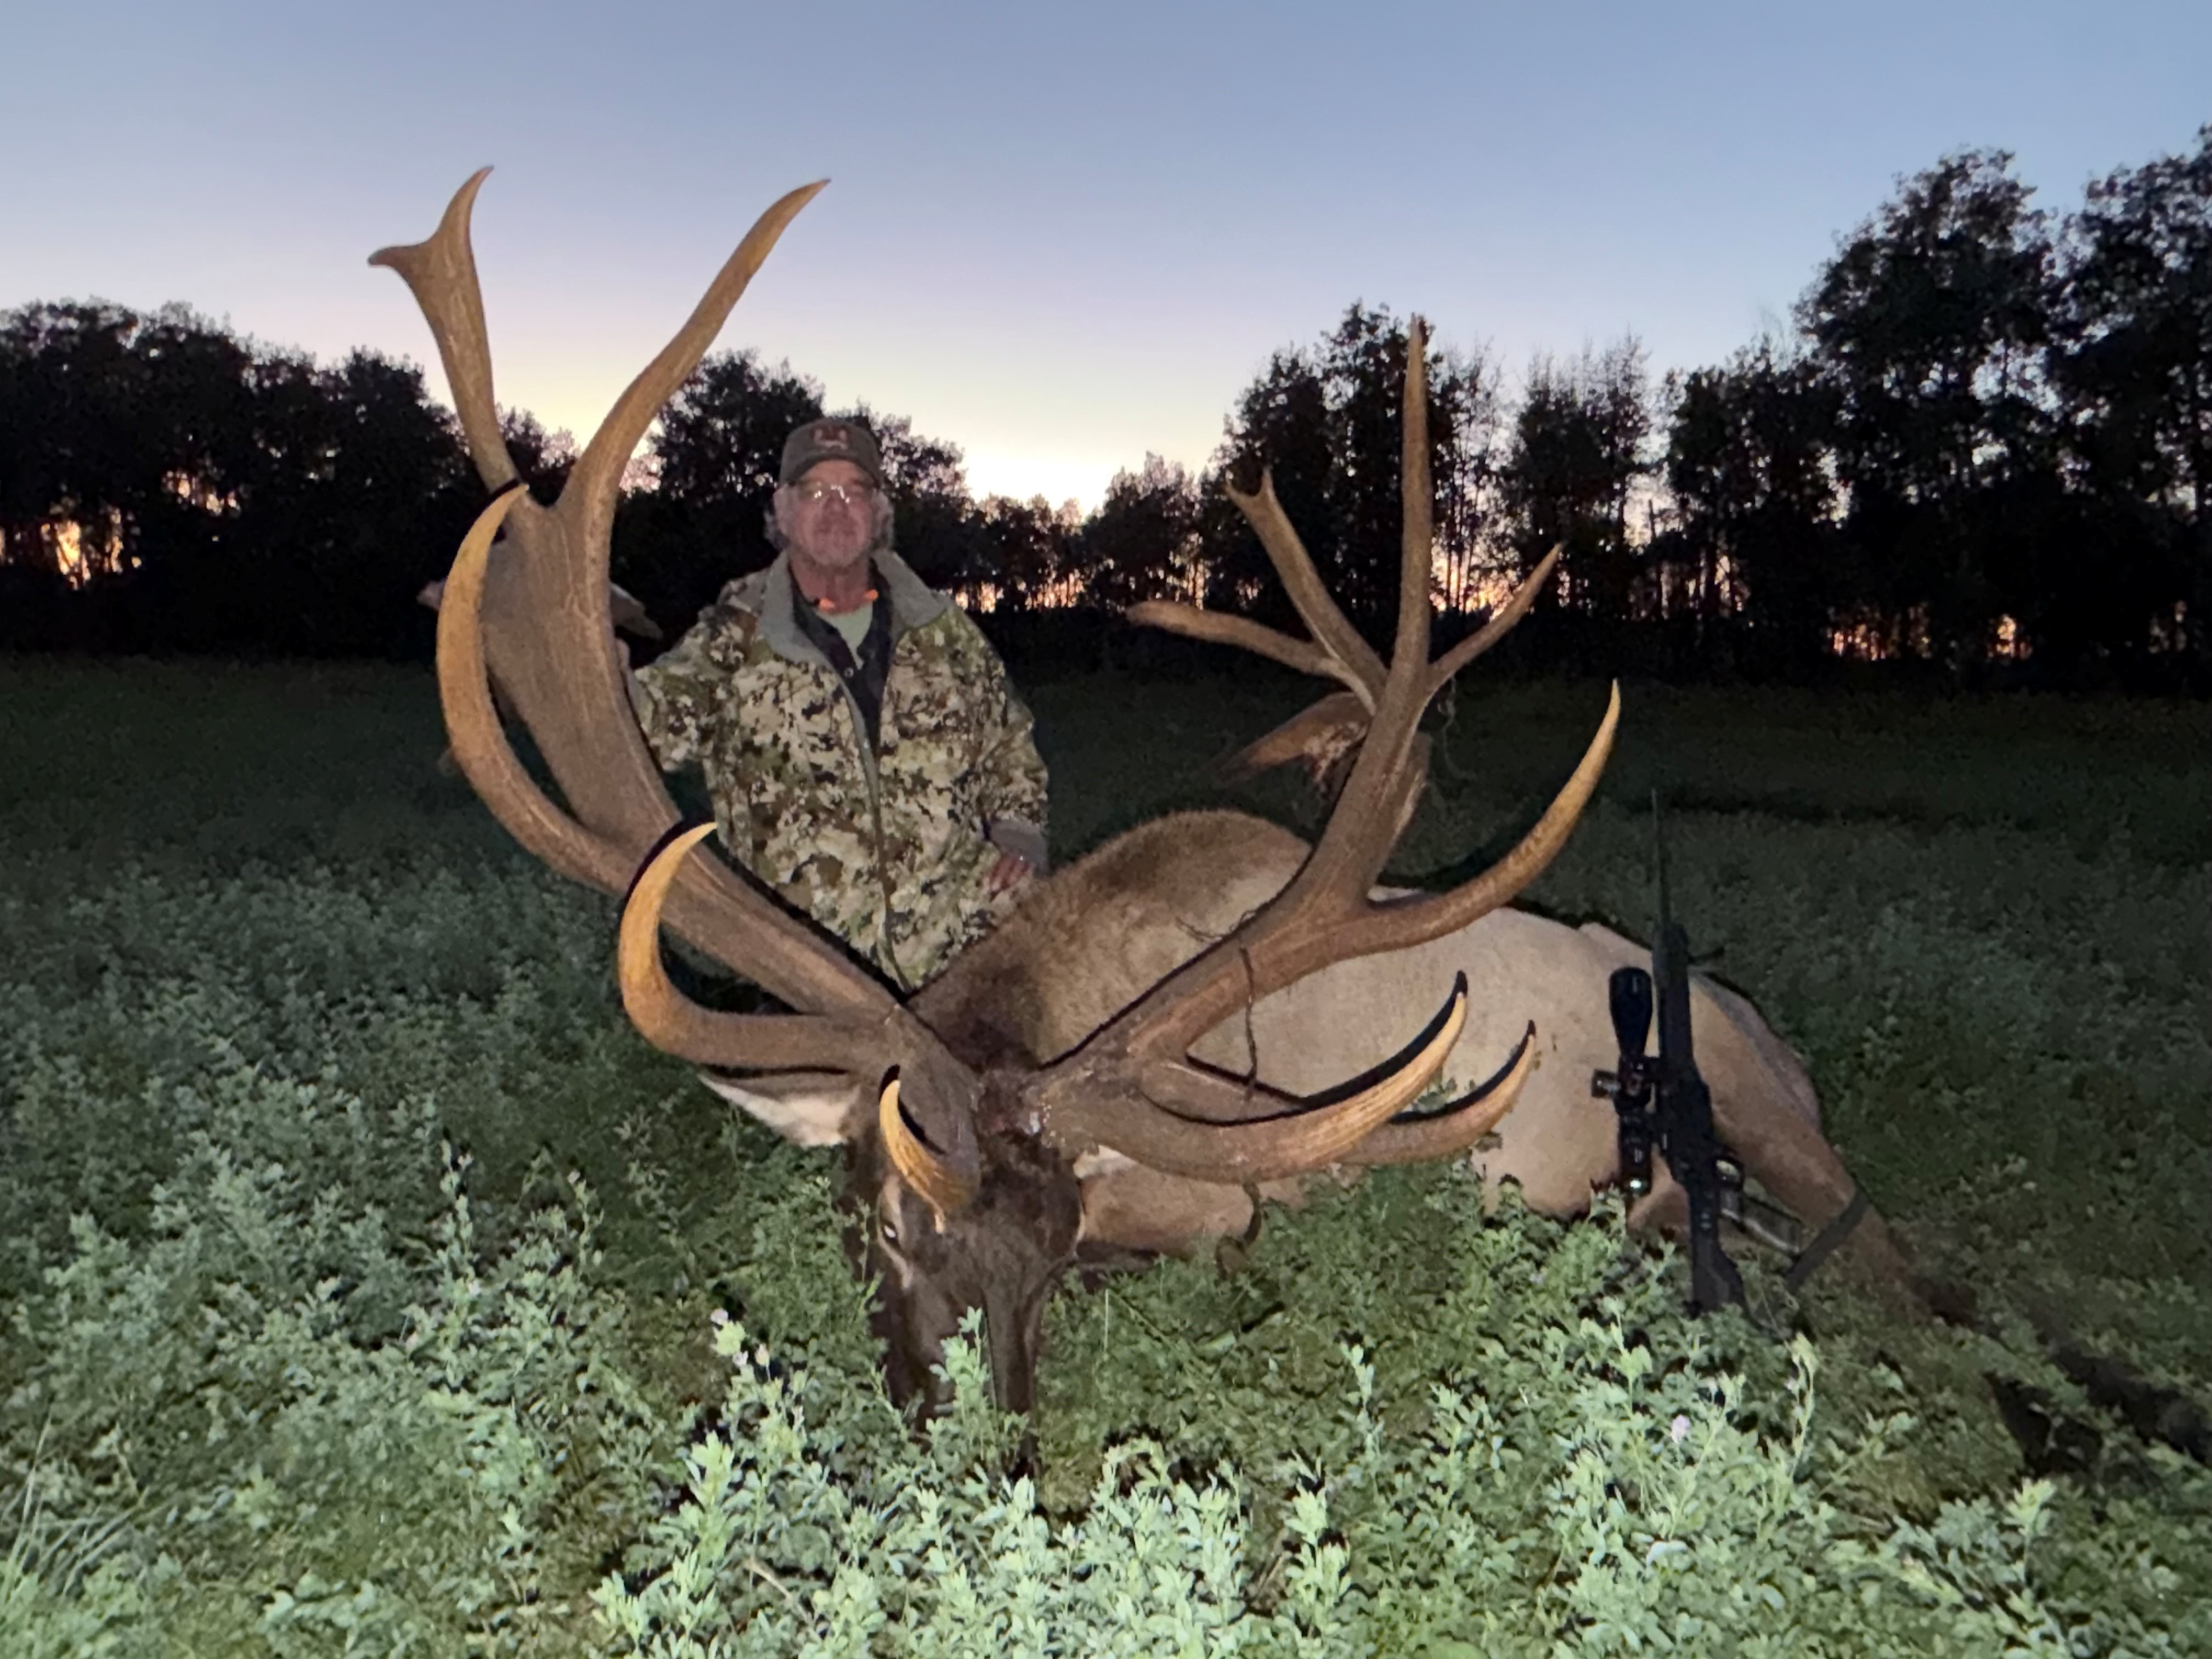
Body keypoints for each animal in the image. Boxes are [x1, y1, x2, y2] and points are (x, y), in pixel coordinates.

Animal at [375, 171, 1917, 1416]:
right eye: (887, 1222)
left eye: (1051, 1253)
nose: (974, 1429)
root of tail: (1776, 1045)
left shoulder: (1226, 1193)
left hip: (1774, 1118)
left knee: (1889, 1250)